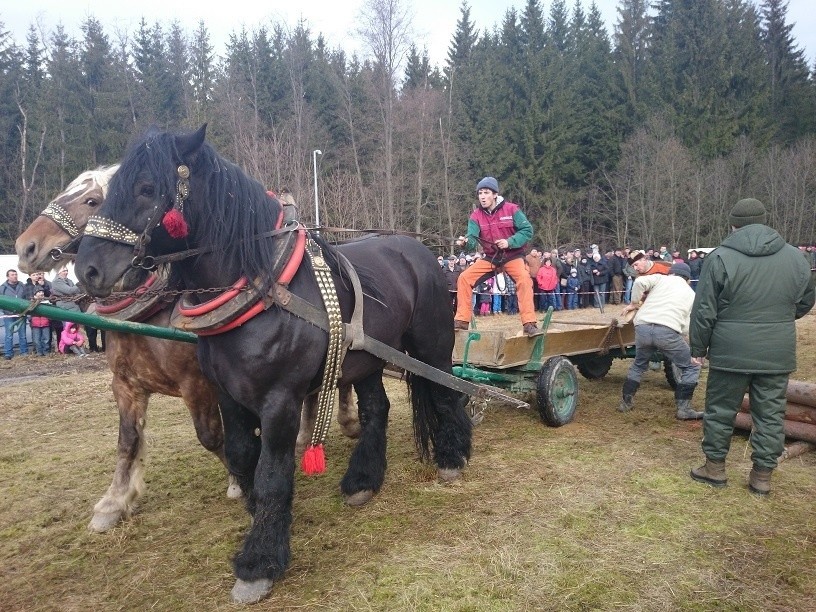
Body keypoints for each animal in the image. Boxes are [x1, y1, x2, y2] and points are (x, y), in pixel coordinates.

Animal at [14, 166, 358, 532]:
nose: (26, 248)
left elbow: (211, 437)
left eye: (91, 201)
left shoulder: (197, 383)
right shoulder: (126, 385)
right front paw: (114, 501)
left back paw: (347, 421)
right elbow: (127, 440)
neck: (151, 312)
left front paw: (238, 482)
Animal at [78, 124, 472, 604]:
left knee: (446, 391)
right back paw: (362, 480)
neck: (264, 289)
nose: (87, 270)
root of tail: (419, 250)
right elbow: (241, 453)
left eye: (147, 188)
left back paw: (452, 456)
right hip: (366, 359)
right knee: (377, 408)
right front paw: (257, 515)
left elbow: (269, 472)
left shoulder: (280, 400)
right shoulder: (226, 393)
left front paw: (258, 563)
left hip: (432, 343)